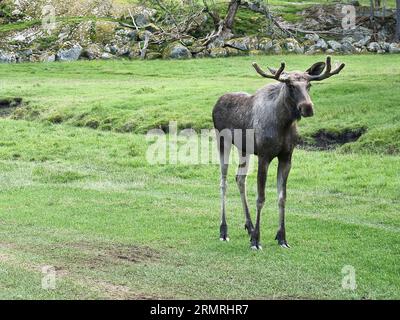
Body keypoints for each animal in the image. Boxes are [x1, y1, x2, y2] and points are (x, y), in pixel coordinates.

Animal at [212, 56, 344, 249]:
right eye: (290, 86)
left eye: (309, 85)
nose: (307, 107)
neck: (284, 124)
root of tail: (216, 104)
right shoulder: (264, 156)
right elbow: (261, 198)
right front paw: (256, 240)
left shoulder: (286, 157)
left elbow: (282, 197)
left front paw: (282, 237)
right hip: (223, 141)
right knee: (223, 181)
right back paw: (224, 230)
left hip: (244, 148)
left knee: (240, 178)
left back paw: (249, 225)